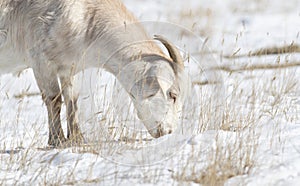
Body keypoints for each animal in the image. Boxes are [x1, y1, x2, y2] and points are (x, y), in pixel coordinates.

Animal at [0, 0, 188, 147]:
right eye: (173, 95)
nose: (167, 131)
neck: (85, 15)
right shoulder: (41, 63)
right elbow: (54, 100)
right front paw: (57, 141)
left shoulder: (68, 68)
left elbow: (72, 100)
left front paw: (77, 139)